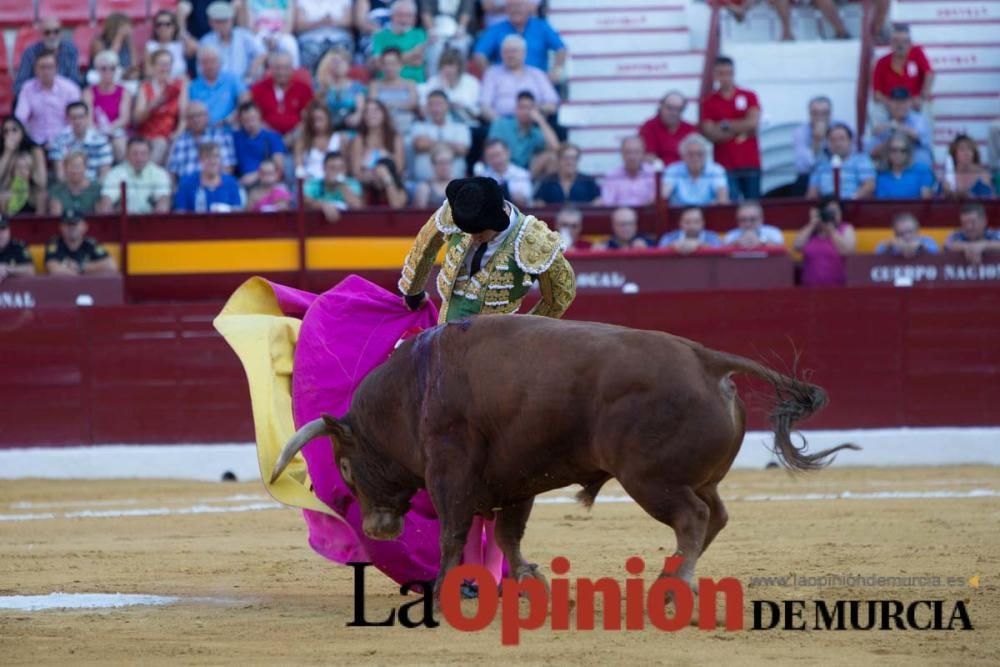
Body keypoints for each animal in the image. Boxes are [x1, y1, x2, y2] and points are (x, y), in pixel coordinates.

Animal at [274, 316, 860, 596]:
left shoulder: (451, 473)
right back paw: (670, 578)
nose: (377, 527)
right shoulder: (515, 481)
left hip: (651, 479)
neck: (412, 390)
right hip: (696, 478)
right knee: (714, 514)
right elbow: (507, 534)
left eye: (345, 465)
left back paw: (676, 587)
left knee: (693, 518)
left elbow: (453, 532)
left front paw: (441, 590)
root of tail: (706, 359)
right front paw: (527, 579)